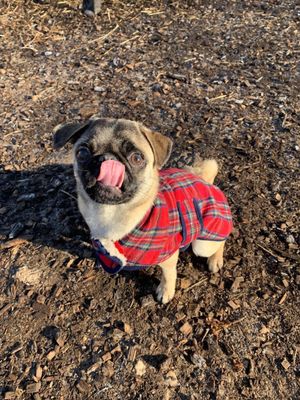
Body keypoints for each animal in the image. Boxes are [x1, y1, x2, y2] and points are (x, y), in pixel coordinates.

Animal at [53, 118, 232, 304]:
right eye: (82, 153)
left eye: (137, 158)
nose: (107, 159)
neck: (112, 213)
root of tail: (207, 182)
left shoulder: (168, 257)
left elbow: (169, 275)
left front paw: (165, 291)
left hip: (203, 244)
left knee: (219, 243)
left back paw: (215, 260)